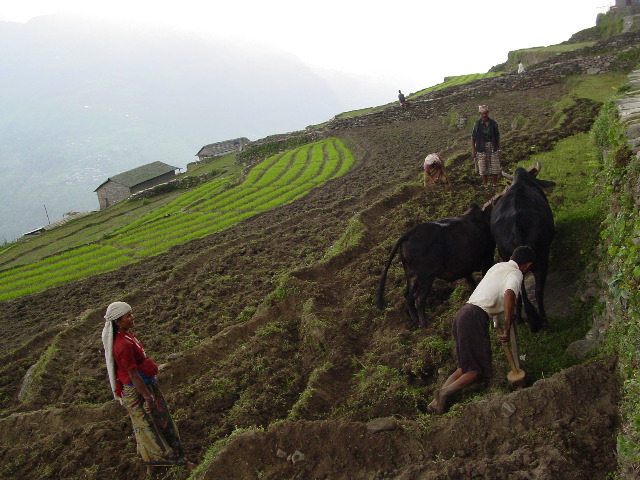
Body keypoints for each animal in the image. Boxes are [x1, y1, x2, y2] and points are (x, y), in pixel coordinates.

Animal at [490, 164, 556, 330]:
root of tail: (516, 223)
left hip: (504, 255)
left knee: (517, 294)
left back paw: (519, 318)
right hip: (542, 257)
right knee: (538, 291)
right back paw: (543, 319)